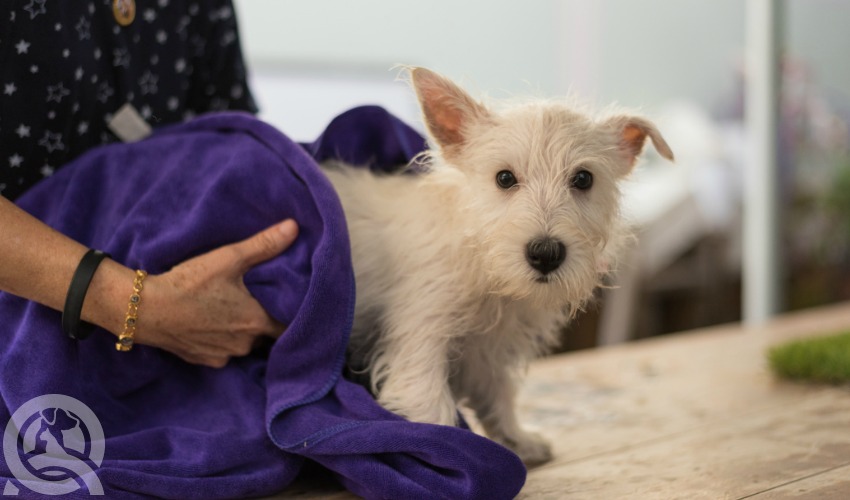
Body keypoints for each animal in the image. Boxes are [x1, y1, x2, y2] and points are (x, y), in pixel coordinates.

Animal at [322, 67, 672, 464]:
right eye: (504, 178)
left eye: (583, 179)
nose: (545, 253)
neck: (486, 270)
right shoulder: (421, 343)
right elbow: (433, 411)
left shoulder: (487, 351)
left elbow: (500, 395)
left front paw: (519, 439)